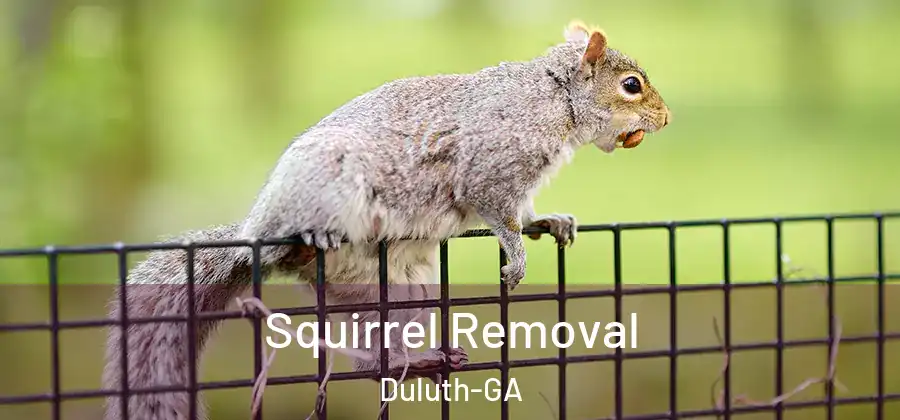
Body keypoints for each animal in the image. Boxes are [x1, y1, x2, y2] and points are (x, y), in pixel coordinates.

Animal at [101, 20, 670, 420]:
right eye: (631, 85)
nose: (666, 119)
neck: (554, 98)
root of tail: (252, 235)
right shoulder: (489, 167)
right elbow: (498, 213)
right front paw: (516, 256)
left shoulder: (519, 183)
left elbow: (525, 212)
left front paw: (549, 222)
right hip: (326, 188)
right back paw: (307, 239)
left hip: (400, 291)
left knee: (372, 362)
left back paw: (418, 361)